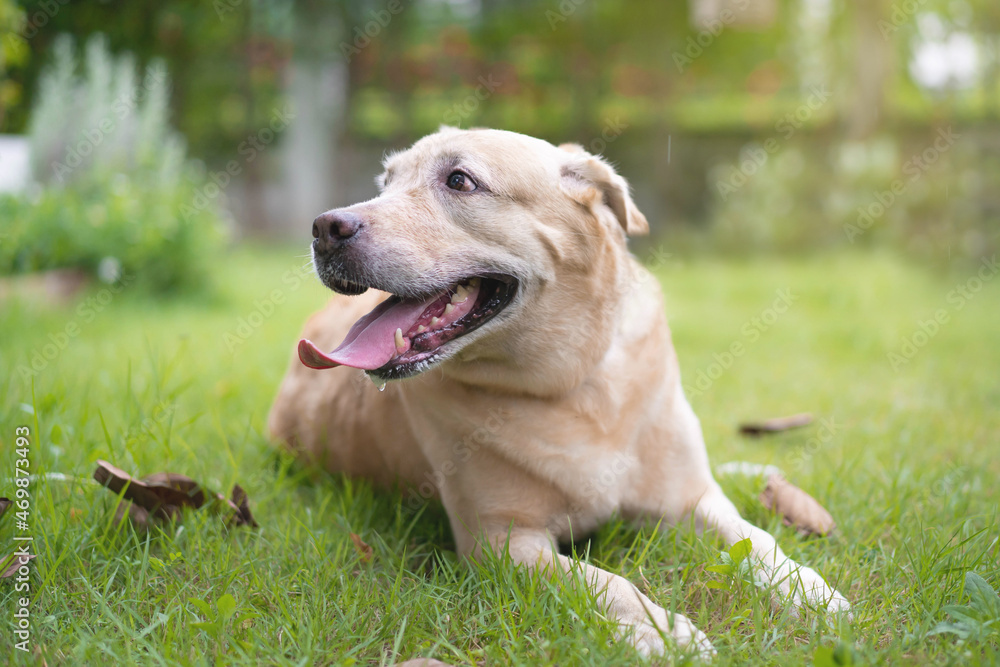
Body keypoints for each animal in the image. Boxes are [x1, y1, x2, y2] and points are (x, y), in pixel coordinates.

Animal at [270, 125, 848, 656]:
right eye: (384, 183)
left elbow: (758, 541)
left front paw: (810, 592)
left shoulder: (695, 501)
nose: (325, 228)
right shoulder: (504, 542)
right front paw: (663, 632)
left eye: (459, 180)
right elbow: (606, 582)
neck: (571, 384)